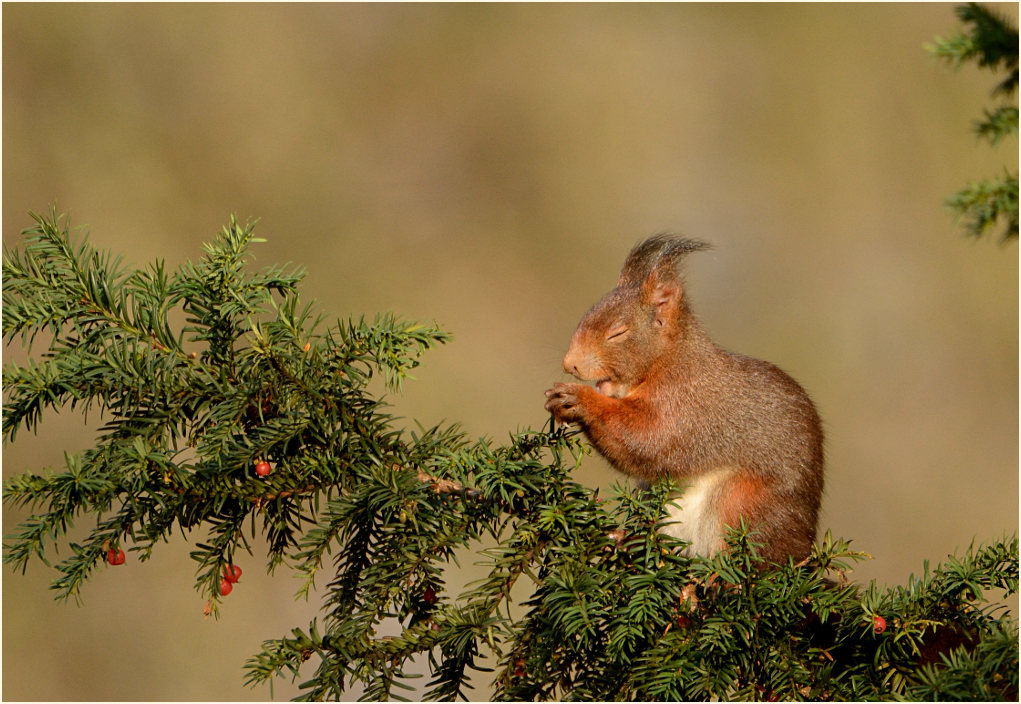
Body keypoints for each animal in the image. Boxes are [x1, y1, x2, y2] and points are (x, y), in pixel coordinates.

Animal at [544, 235, 824, 563]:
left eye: (617, 333)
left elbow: (651, 439)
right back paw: (625, 540)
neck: (668, 360)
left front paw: (579, 399)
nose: (570, 364)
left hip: (745, 505)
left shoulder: (688, 403)